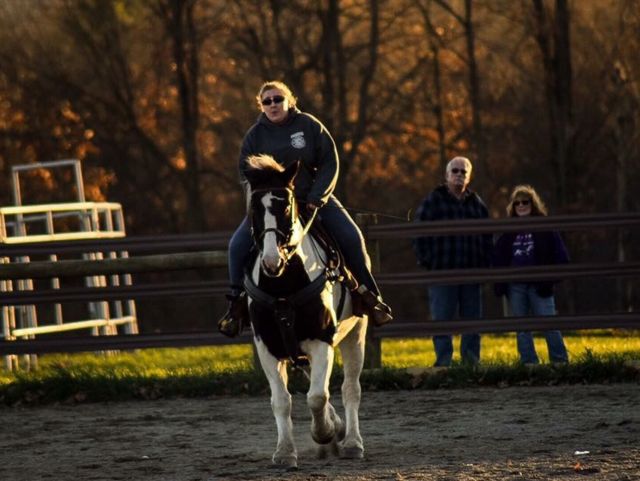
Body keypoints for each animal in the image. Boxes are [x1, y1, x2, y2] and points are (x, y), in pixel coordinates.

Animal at [242, 153, 367, 469]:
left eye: (286, 206)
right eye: (253, 208)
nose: (271, 261)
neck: (283, 286)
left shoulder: (322, 342)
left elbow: (317, 397)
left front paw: (325, 432)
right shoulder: (268, 347)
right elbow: (281, 401)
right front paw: (285, 452)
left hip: (356, 335)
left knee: (350, 389)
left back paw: (351, 442)